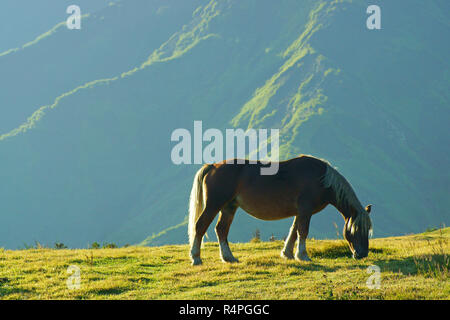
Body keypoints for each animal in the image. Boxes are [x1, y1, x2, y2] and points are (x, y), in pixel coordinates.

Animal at [186, 155, 372, 264]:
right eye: (355, 229)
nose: (362, 254)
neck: (321, 179)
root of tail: (213, 166)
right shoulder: (305, 211)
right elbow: (302, 231)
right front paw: (302, 255)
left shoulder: (300, 212)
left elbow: (294, 231)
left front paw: (288, 253)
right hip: (214, 205)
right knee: (200, 226)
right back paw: (196, 257)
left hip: (229, 207)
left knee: (221, 230)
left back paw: (228, 257)